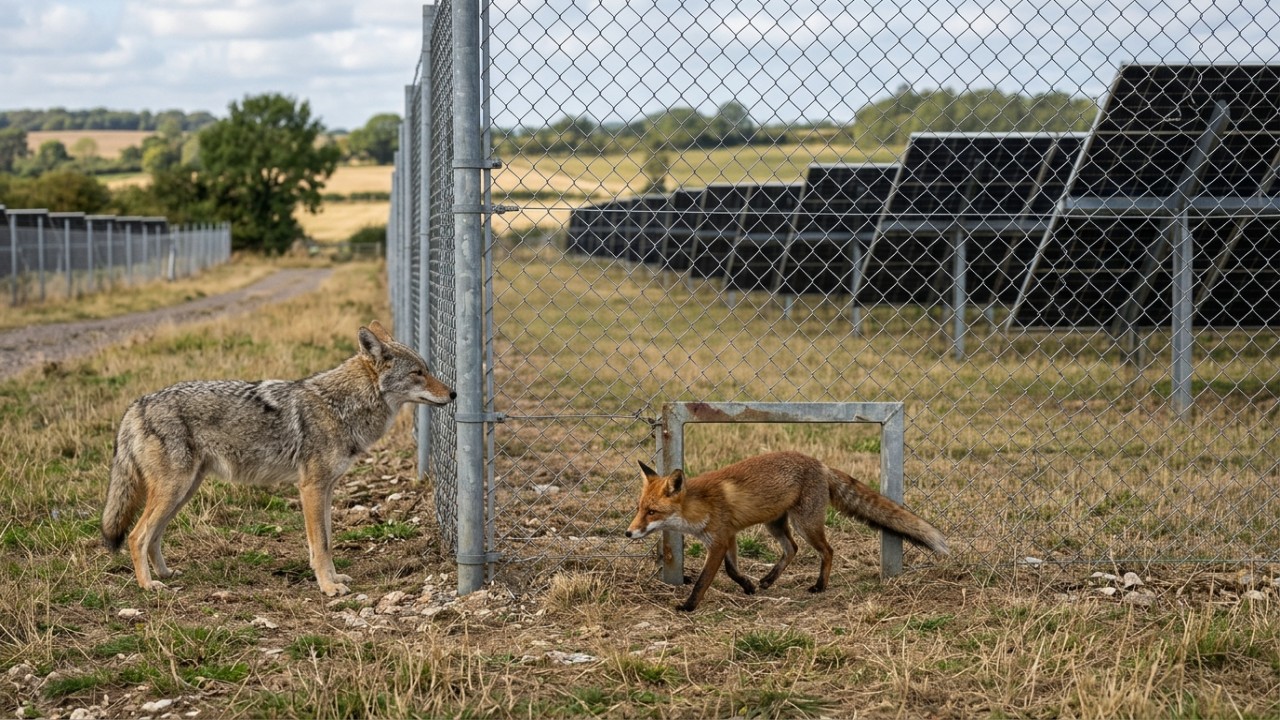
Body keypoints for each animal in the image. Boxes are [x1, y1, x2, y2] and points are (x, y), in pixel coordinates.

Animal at [101, 321, 455, 597]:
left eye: (427, 370)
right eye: (418, 373)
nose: (453, 394)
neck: (341, 407)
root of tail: (137, 404)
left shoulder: (325, 489)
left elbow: (325, 542)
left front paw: (333, 579)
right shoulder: (311, 488)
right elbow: (321, 544)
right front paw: (329, 588)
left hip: (182, 492)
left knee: (153, 536)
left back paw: (165, 575)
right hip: (173, 490)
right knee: (136, 536)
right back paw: (148, 586)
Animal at [625, 451, 949, 611]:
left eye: (652, 512)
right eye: (639, 508)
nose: (628, 534)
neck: (698, 506)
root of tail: (820, 463)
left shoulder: (718, 540)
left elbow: (704, 580)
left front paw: (689, 606)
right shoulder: (729, 536)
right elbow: (732, 570)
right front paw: (749, 586)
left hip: (806, 524)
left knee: (828, 551)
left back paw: (820, 586)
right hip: (776, 524)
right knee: (792, 549)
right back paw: (769, 579)